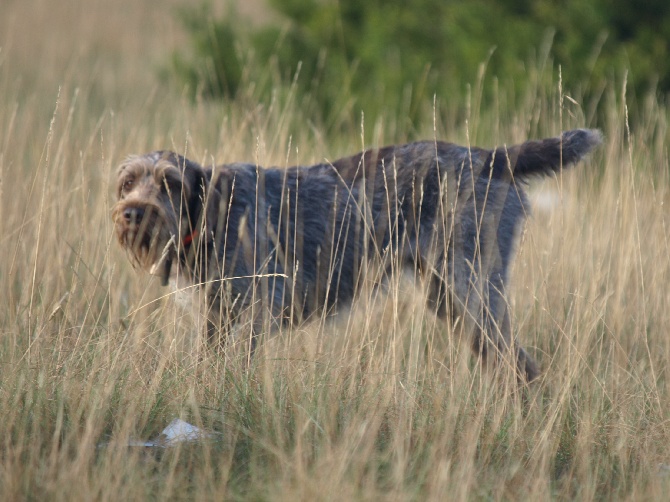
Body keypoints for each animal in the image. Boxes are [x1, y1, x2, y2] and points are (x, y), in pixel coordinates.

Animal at [111, 128, 604, 380]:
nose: (133, 213)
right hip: (449, 298)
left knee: (522, 365)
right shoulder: (213, 320)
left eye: (171, 184)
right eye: (127, 182)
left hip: (473, 290)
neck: (210, 215)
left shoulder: (256, 310)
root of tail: (489, 157)